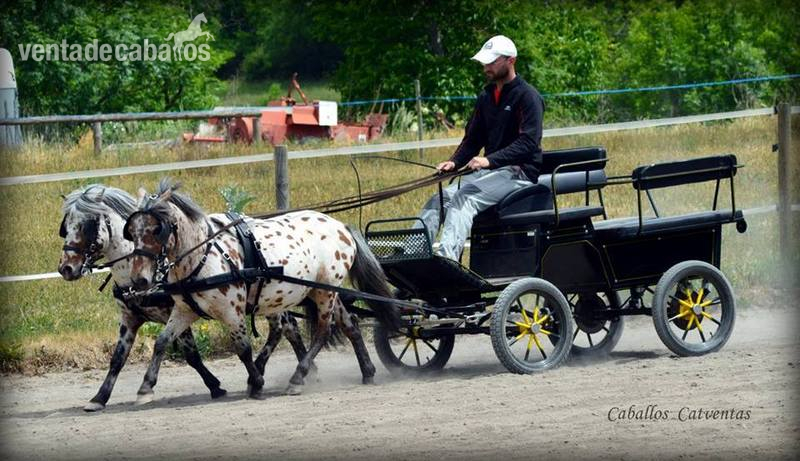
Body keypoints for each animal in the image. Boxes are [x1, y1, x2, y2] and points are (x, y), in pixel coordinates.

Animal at [124, 179, 399, 400]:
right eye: (132, 232)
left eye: (157, 229)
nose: (139, 279)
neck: (202, 254)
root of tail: (341, 226)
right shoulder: (184, 310)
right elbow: (162, 342)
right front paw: (145, 388)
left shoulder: (232, 310)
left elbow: (243, 348)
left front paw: (256, 382)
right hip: (323, 290)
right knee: (349, 324)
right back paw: (367, 371)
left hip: (324, 293)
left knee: (322, 332)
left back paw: (297, 378)